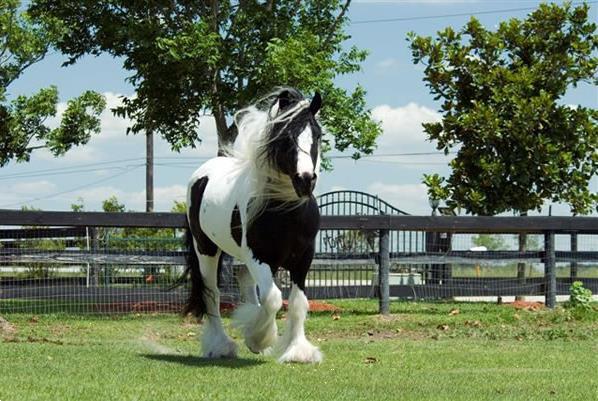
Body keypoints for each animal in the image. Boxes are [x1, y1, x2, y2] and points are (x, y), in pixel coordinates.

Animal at [186, 87, 324, 362]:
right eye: (286, 137)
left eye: (318, 135)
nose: (306, 180)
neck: (285, 211)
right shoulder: (258, 256)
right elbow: (273, 298)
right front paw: (257, 339)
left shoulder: (303, 258)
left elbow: (297, 303)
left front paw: (298, 351)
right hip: (206, 249)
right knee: (212, 294)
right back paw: (221, 346)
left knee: (245, 284)